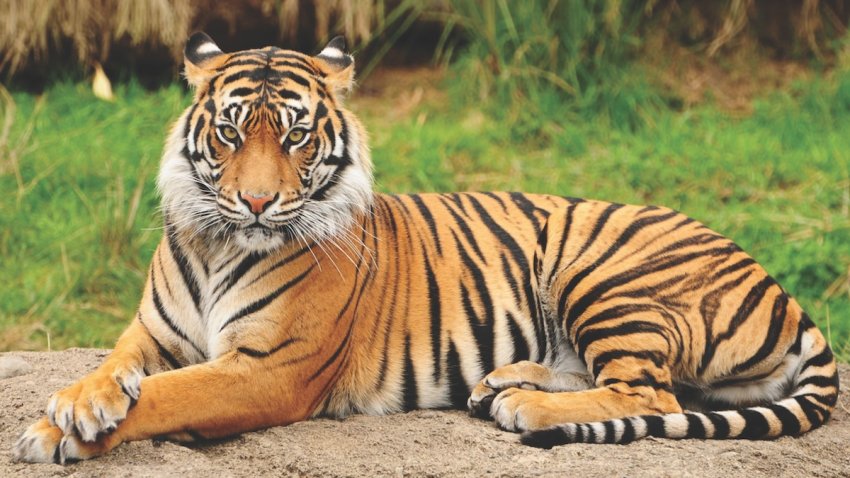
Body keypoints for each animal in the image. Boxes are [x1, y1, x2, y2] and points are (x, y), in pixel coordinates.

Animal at [11, 32, 836, 464]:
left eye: (297, 136)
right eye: (229, 133)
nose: (257, 202)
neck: (219, 244)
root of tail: (784, 291)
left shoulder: (270, 369)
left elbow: (172, 394)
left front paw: (55, 432)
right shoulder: (152, 334)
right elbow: (114, 369)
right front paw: (78, 404)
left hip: (603, 271)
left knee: (651, 392)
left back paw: (526, 408)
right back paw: (503, 383)